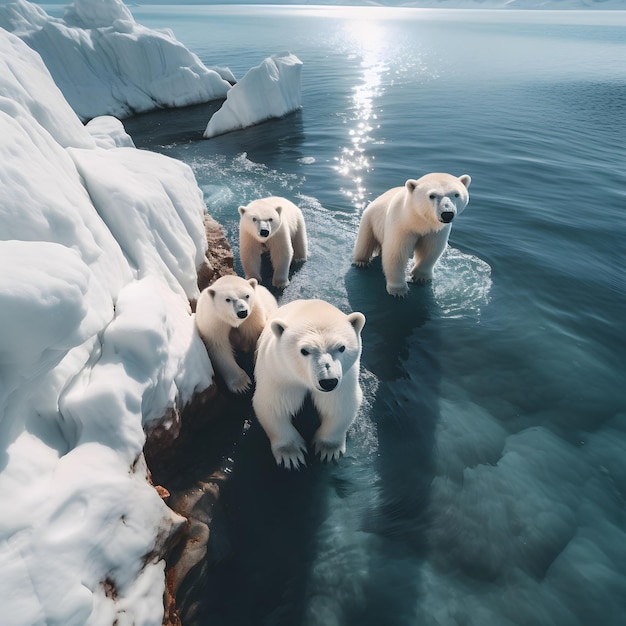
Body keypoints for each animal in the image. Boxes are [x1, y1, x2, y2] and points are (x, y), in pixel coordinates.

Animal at [250, 298, 364, 468]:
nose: (328, 382)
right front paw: (291, 454)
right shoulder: (280, 373)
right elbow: (274, 405)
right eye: (304, 351)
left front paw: (328, 449)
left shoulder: (345, 377)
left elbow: (338, 403)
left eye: (342, 347)